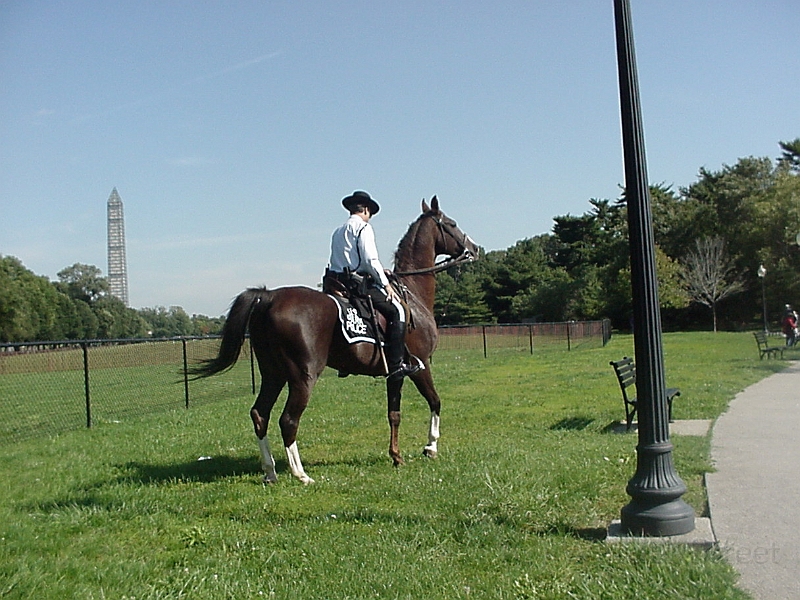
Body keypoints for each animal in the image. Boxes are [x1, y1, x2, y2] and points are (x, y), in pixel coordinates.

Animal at [191, 197, 478, 482]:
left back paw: (270, 472)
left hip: (274, 374)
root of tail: (269, 297)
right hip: (302, 377)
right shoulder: (420, 366)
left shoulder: (394, 373)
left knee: (260, 414)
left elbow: (394, 414)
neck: (412, 295)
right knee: (288, 420)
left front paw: (396, 456)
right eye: (452, 224)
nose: (474, 248)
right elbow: (435, 401)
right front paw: (431, 447)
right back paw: (300, 474)